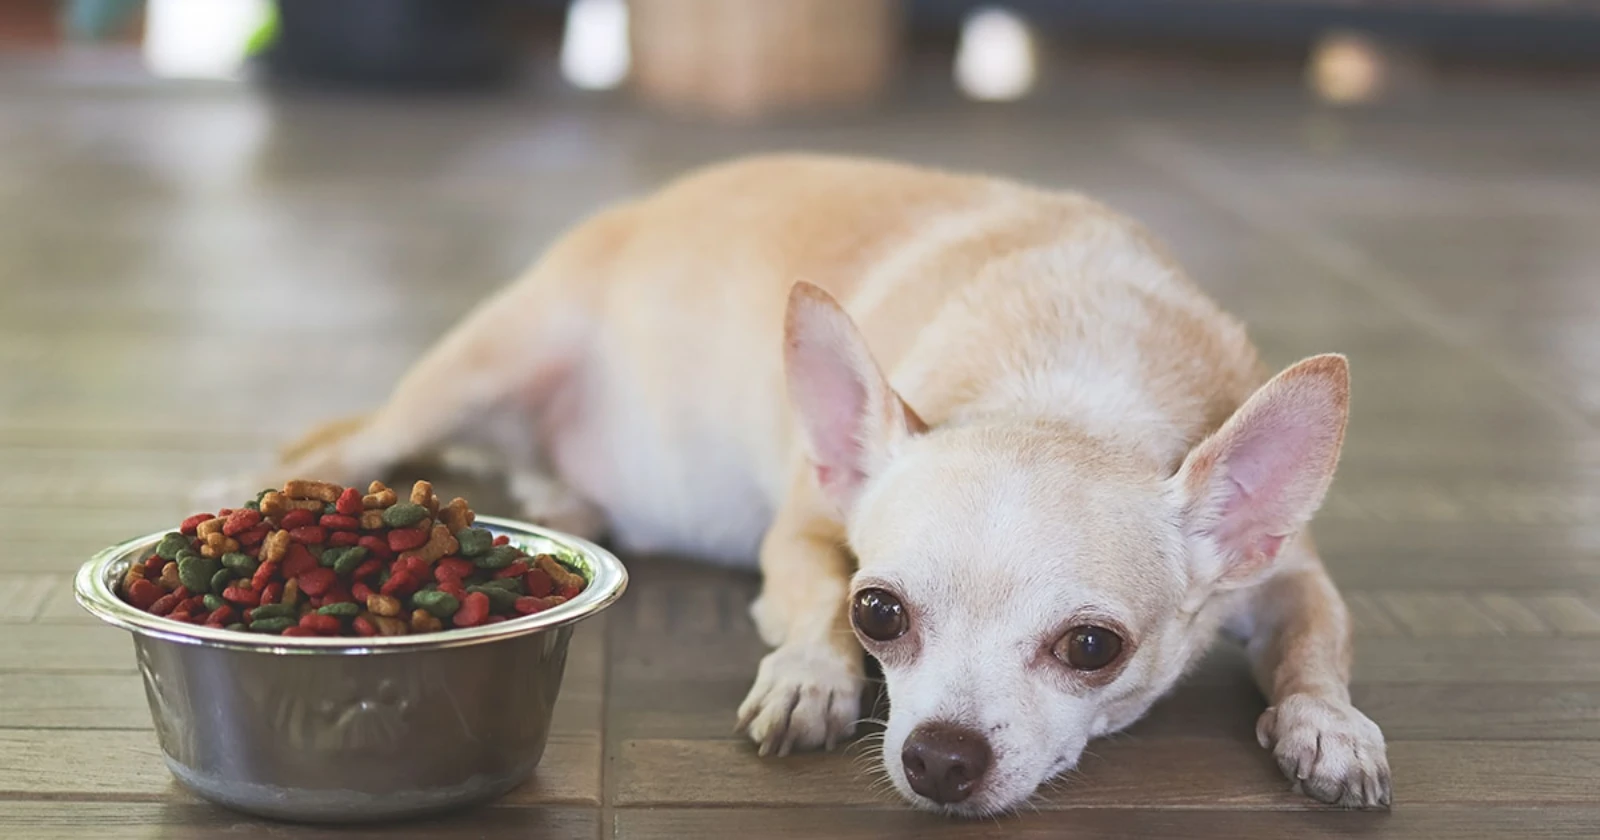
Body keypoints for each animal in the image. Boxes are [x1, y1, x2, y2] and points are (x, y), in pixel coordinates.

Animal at [222, 155, 1388, 812]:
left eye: (1093, 649)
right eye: (881, 613)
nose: (940, 758)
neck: (1066, 390)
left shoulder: (1290, 574)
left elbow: (1316, 645)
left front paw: (1328, 726)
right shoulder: (802, 531)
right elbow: (810, 596)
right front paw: (811, 678)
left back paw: (565, 502)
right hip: (474, 371)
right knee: (351, 441)